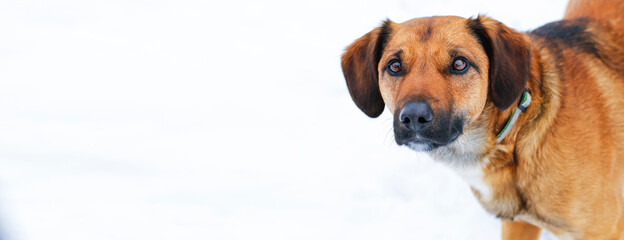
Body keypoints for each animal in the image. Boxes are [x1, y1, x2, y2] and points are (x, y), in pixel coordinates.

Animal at [344, 0, 624, 238]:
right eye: (394, 66)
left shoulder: (605, 230)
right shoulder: (519, 223)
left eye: (459, 64)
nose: (413, 117)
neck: (514, 140)